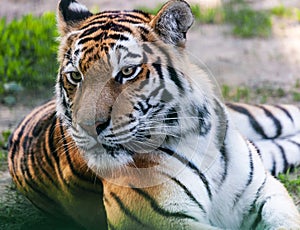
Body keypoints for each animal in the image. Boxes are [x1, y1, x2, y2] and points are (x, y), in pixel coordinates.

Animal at [7, 0, 300, 228]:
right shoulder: (161, 219)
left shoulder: (265, 191)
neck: (195, 135)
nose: (89, 126)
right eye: (76, 76)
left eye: (127, 71)